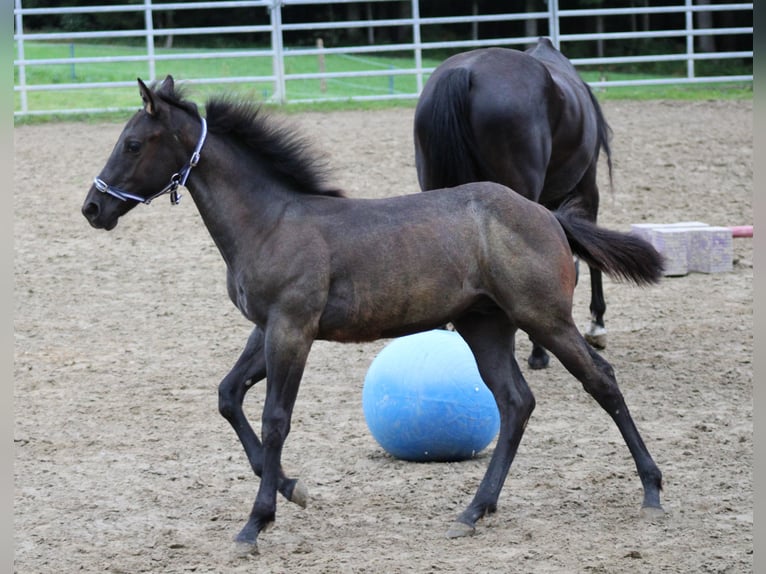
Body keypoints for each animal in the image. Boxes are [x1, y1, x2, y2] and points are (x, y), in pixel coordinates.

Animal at [79, 76, 664, 552]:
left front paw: (256, 522)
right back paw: (474, 511)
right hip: (484, 325)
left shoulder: (292, 330)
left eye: (132, 143)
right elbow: (228, 396)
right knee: (515, 401)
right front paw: (293, 489)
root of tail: (546, 213)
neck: (271, 221)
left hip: (544, 317)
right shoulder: (265, 329)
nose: (93, 207)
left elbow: (275, 419)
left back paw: (652, 489)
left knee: (601, 381)